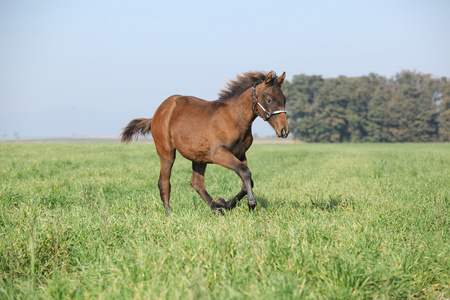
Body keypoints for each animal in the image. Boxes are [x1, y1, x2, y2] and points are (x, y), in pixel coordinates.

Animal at [120, 71, 288, 213]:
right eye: (269, 100)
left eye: (284, 100)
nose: (284, 130)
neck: (233, 118)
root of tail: (157, 113)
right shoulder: (219, 154)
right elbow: (245, 172)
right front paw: (251, 203)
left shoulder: (240, 154)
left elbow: (247, 180)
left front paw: (224, 203)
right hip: (166, 152)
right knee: (164, 181)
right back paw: (169, 214)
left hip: (199, 156)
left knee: (196, 183)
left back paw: (216, 209)